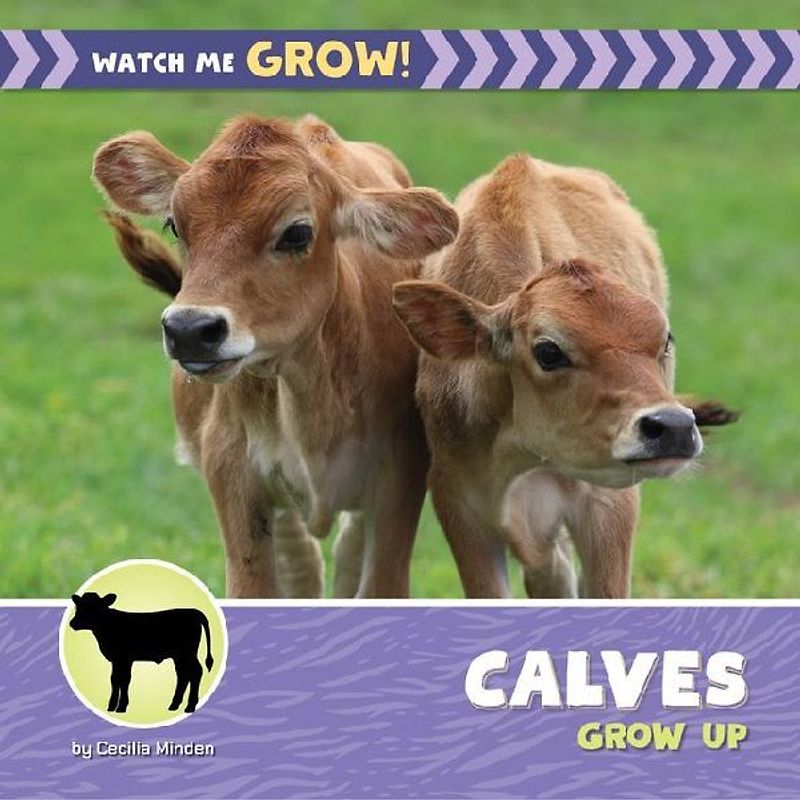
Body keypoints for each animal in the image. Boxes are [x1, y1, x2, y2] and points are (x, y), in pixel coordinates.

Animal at [69, 592, 213, 713]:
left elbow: (124, 679)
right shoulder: (116, 660)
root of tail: (194, 611)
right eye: (78, 608)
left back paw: (190, 706)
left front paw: (121, 707)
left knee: (196, 672)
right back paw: (174, 705)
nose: (72, 623)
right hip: (179, 656)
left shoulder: (124, 658)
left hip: (188, 653)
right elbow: (115, 679)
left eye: (93, 608)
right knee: (183, 675)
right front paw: (111, 707)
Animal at [392, 154, 736, 599]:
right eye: (548, 351)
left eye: (666, 339)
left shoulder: (609, 505)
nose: (673, 426)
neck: (520, 454)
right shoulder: (459, 502)